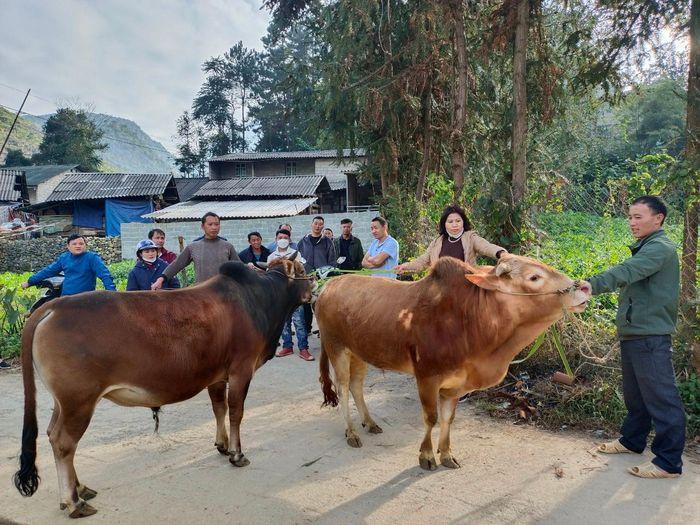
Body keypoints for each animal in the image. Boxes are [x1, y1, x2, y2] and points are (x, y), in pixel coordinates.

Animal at [13, 256, 312, 516]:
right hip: (79, 402)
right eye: (300, 268)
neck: (259, 298)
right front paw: (237, 454)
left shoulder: (217, 376)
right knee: (64, 443)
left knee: (51, 434)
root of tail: (52, 307)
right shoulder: (241, 370)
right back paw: (73, 502)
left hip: (62, 402)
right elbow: (236, 411)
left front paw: (222, 444)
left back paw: (81, 488)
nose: (313, 289)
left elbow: (219, 408)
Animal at [318, 254, 592, 470]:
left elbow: (448, 419)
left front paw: (447, 454)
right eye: (534, 277)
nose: (585, 287)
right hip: (336, 348)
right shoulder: (427, 378)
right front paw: (427, 455)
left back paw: (370, 423)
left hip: (359, 353)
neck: (469, 319)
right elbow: (431, 418)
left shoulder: (455, 385)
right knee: (342, 389)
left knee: (356, 386)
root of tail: (328, 286)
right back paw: (352, 432)